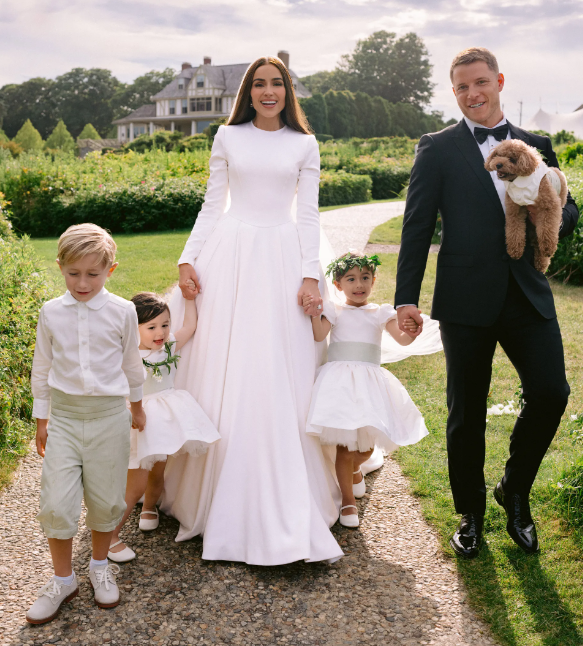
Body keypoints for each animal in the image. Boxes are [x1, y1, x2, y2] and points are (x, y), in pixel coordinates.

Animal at [486, 140, 568, 272]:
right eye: (498, 155)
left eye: (512, 159)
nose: (498, 164)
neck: (519, 181)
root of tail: (556, 169)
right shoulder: (515, 209)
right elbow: (514, 230)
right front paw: (515, 250)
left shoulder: (549, 206)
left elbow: (547, 229)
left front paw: (548, 247)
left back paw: (543, 262)